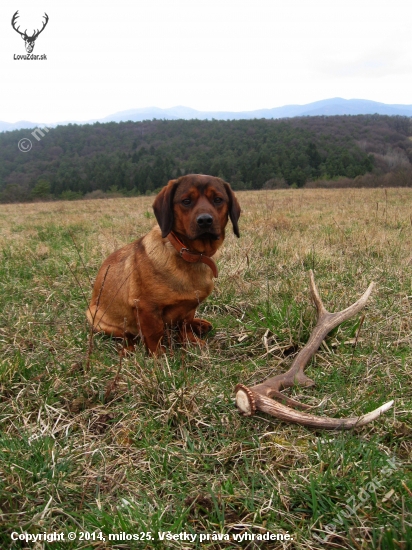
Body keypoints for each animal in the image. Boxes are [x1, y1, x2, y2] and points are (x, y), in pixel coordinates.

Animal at [87, 178, 241, 358]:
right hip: (96, 318)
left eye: (218, 199)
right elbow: (154, 333)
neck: (189, 254)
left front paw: (191, 341)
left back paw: (199, 324)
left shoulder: (189, 307)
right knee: (127, 335)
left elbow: (185, 325)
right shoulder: (147, 308)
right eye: (186, 201)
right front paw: (159, 356)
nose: (205, 220)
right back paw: (128, 348)